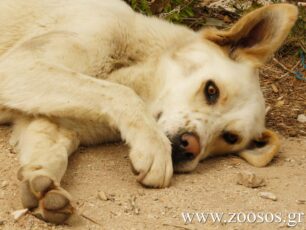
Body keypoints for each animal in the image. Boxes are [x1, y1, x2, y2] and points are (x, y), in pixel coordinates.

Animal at [0, 0, 298, 224]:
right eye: (211, 90)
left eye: (230, 138)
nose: (189, 148)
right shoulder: (19, 65)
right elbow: (122, 94)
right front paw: (154, 150)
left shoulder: (51, 122)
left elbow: (51, 152)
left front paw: (42, 184)